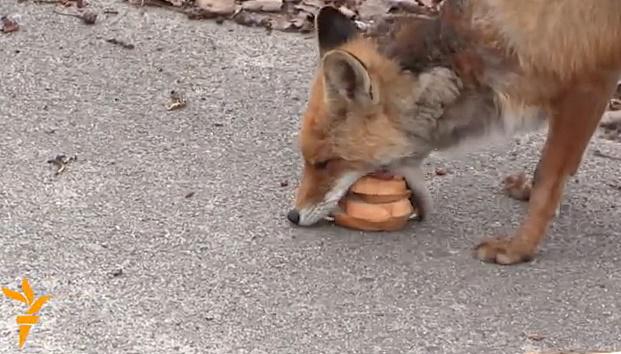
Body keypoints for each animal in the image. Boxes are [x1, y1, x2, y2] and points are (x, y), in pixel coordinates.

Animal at [284, 1, 620, 264]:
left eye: (324, 163)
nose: (293, 216)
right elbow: (560, 170)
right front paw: (534, 196)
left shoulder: (588, 84)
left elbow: (548, 178)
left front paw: (519, 248)